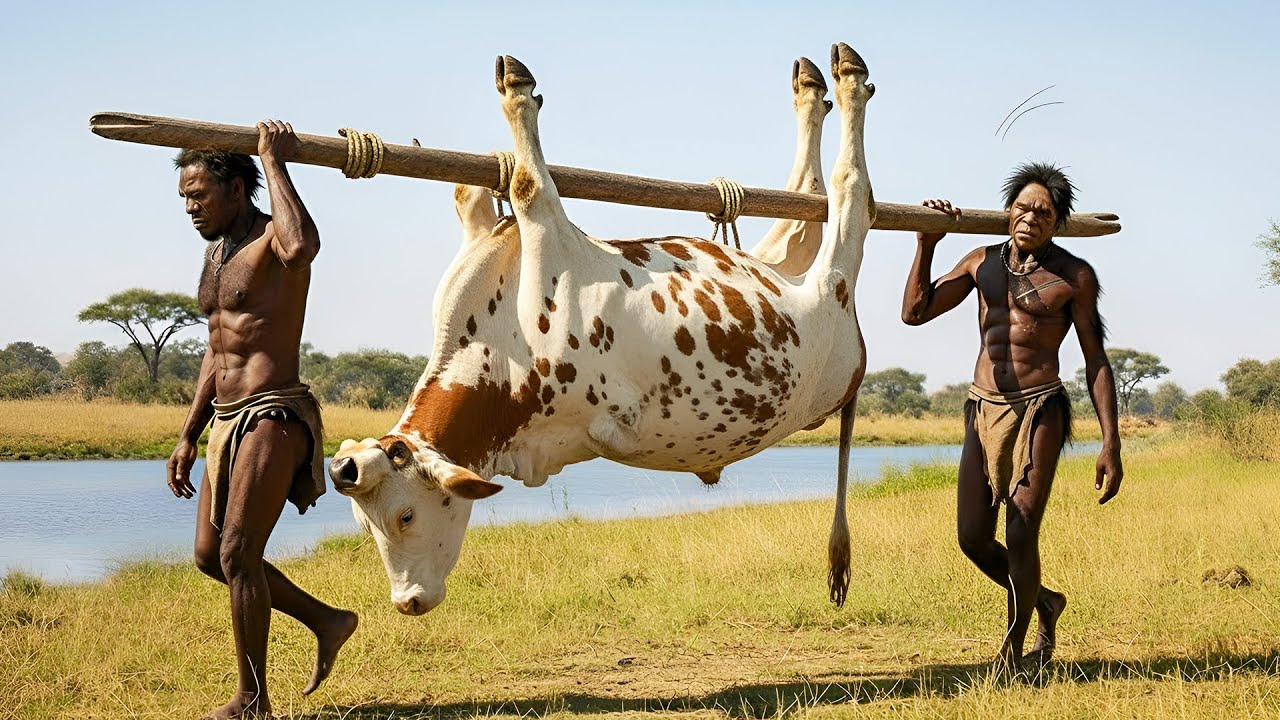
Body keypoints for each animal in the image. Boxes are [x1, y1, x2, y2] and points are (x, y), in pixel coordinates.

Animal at [330, 43, 876, 616]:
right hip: (813, 288)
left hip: (801, 285)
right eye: (363, 526)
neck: (497, 366)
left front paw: (509, 121)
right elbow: (517, 188)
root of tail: (855, 365)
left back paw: (831, 80)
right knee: (836, 203)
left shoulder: (549, 246)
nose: (408, 600)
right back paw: (830, 83)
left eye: (405, 515)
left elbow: (518, 187)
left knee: (833, 197)